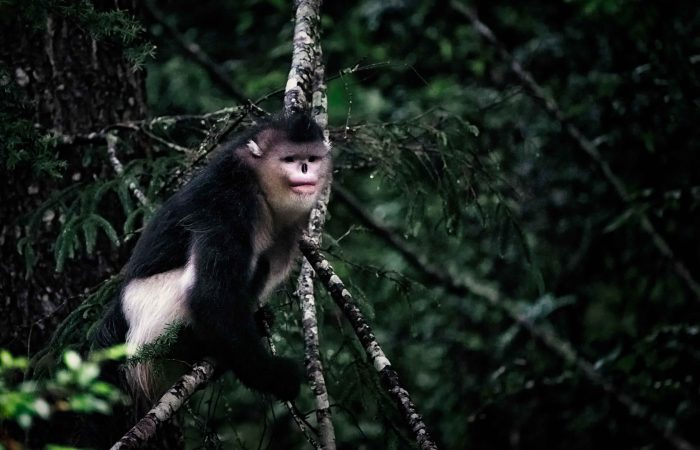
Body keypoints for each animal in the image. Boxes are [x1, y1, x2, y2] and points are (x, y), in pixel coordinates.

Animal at [94, 112, 332, 403]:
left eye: (311, 158)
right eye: (290, 159)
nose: (305, 169)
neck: (258, 183)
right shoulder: (229, 203)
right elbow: (210, 297)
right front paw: (274, 376)